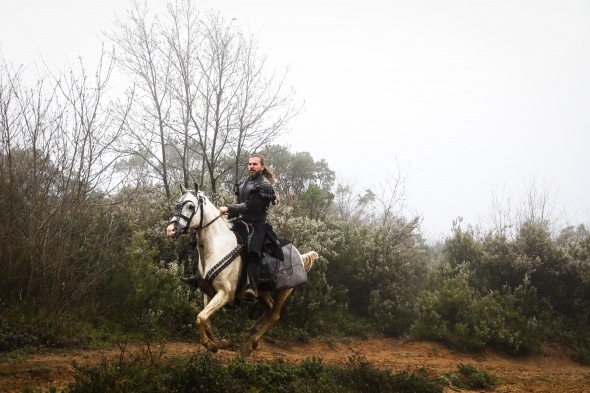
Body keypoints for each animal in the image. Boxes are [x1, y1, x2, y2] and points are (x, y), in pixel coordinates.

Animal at [165, 185, 320, 356]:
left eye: (191, 206)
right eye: (177, 205)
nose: (171, 230)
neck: (217, 247)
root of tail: (300, 255)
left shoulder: (225, 294)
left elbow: (201, 318)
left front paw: (211, 345)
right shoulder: (208, 292)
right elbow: (206, 319)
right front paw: (221, 343)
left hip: (284, 291)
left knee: (275, 315)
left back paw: (250, 344)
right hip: (262, 292)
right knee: (269, 310)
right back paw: (251, 333)